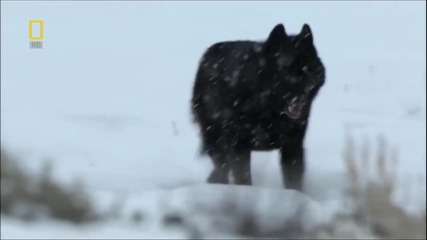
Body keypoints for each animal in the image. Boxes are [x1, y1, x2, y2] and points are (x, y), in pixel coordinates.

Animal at [192, 23, 326, 190]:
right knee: (221, 168)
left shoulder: (293, 146)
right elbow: (244, 179)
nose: (300, 99)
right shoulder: (239, 146)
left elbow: (293, 182)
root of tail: (208, 53)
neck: (268, 109)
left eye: (308, 70)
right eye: (285, 69)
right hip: (215, 139)